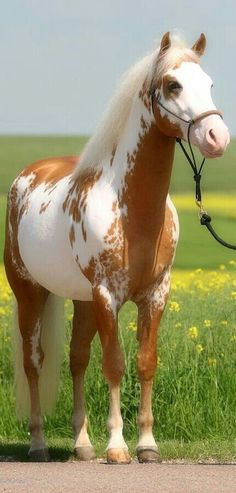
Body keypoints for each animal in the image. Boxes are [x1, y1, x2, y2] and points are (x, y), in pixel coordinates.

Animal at [3, 32, 229, 464]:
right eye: (173, 85)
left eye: (209, 83)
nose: (217, 138)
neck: (131, 210)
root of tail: (27, 175)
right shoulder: (107, 296)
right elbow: (114, 364)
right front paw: (118, 446)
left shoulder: (155, 294)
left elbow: (144, 363)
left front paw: (147, 445)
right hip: (30, 293)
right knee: (34, 361)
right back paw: (38, 443)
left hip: (82, 300)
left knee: (76, 359)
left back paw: (82, 444)